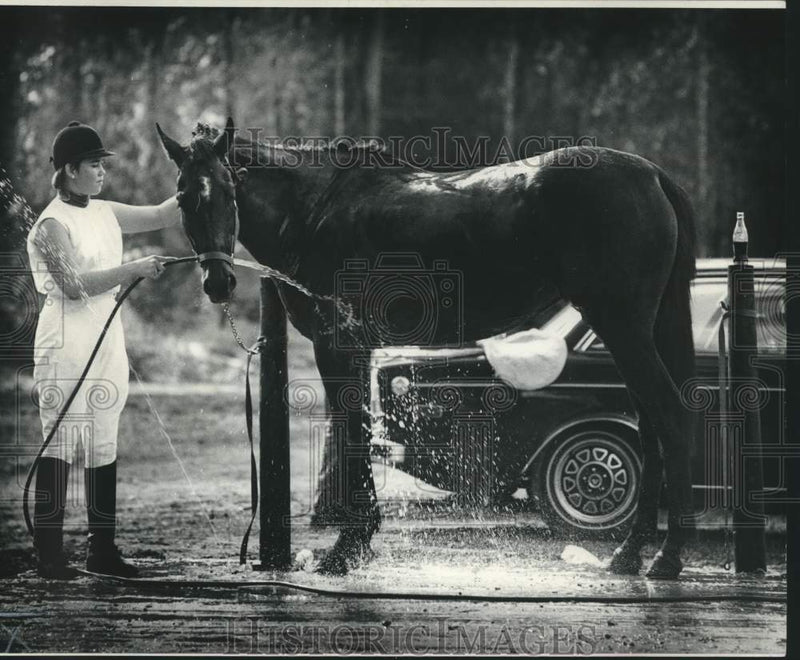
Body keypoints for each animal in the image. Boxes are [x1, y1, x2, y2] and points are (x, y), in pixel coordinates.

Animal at [156, 117, 697, 579]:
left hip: (624, 328)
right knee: (649, 426)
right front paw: (357, 542)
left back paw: (667, 557)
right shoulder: (357, 350)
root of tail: (650, 174)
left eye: (229, 190)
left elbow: (353, 431)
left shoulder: (338, 345)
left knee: (670, 417)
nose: (219, 282)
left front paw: (348, 548)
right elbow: (357, 431)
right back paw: (630, 554)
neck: (315, 209)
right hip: (632, 332)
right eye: (183, 197)